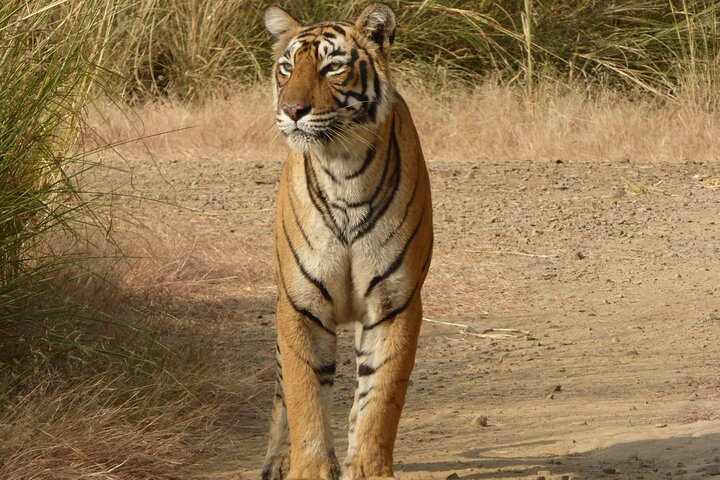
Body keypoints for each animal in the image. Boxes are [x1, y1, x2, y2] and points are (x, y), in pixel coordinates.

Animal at [262, 4, 434, 480]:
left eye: (332, 67)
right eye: (287, 67)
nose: (292, 110)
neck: (343, 171)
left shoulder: (395, 303)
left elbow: (381, 397)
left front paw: (368, 468)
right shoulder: (299, 304)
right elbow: (304, 395)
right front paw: (309, 468)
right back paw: (277, 460)